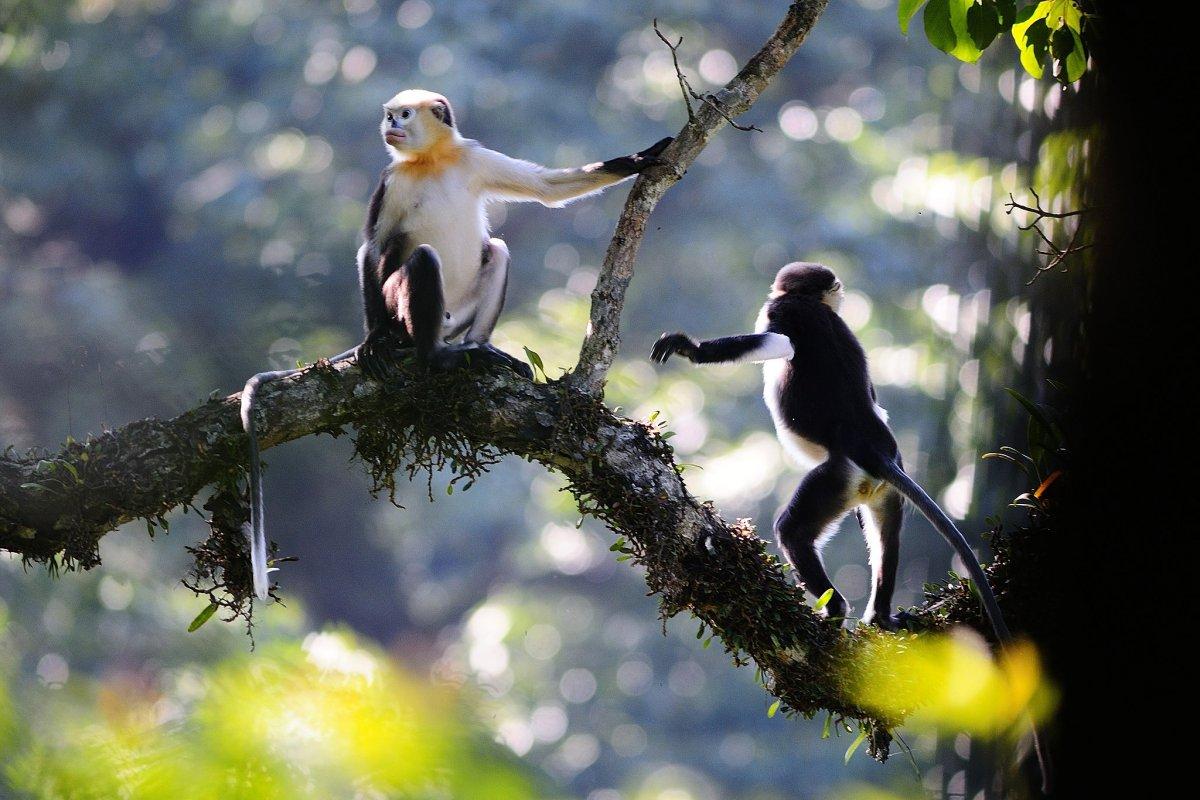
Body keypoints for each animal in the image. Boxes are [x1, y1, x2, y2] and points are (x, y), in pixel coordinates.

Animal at [238, 89, 672, 599]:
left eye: (403, 115)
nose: (390, 125)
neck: (431, 161)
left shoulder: (473, 158)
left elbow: (545, 188)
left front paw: (641, 158)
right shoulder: (391, 181)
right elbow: (372, 247)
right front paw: (372, 341)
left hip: (459, 311)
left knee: (497, 250)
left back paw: (482, 350)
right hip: (406, 307)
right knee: (419, 258)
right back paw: (424, 352)